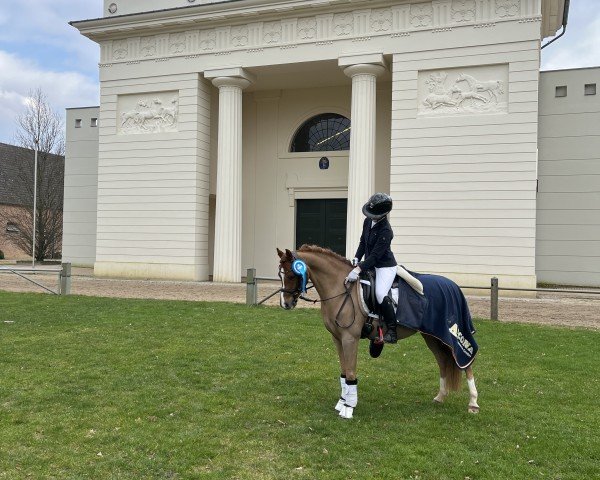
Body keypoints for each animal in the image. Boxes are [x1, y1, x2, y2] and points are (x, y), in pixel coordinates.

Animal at [276, 246, 478, 418]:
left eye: (292, 274)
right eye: (280, 274)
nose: (285, 303)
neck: (341, 288)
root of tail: (453, 285)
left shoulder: (350, 339)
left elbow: (350, 372)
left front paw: (348, 408)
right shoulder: (337, 339)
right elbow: (344, 371)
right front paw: (342, 402)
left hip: (450, 337)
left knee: (465, 364)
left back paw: (473, 403)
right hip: (433, 337)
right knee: (443, 362)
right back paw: (440, 397)